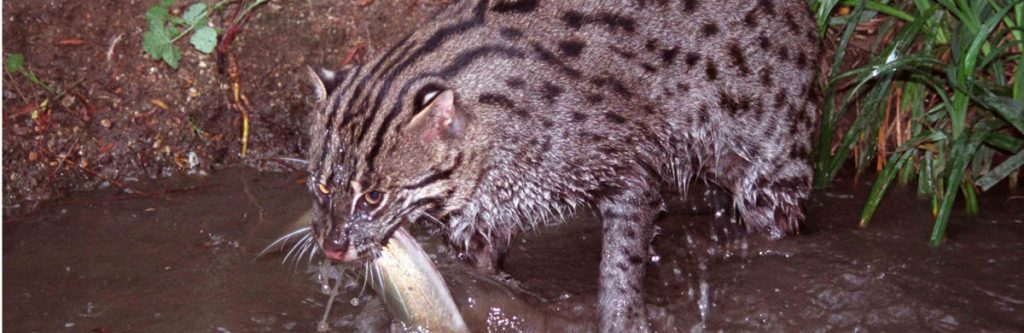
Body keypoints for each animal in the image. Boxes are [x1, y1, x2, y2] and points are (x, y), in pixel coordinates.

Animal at [305, 0, 823, 329]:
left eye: (374, 196)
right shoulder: (485, 210)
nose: (332, 247)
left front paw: (622, 318)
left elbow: (622, 260)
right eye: (323, 187)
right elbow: (484, 265)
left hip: (770, 158)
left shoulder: (629, 165)